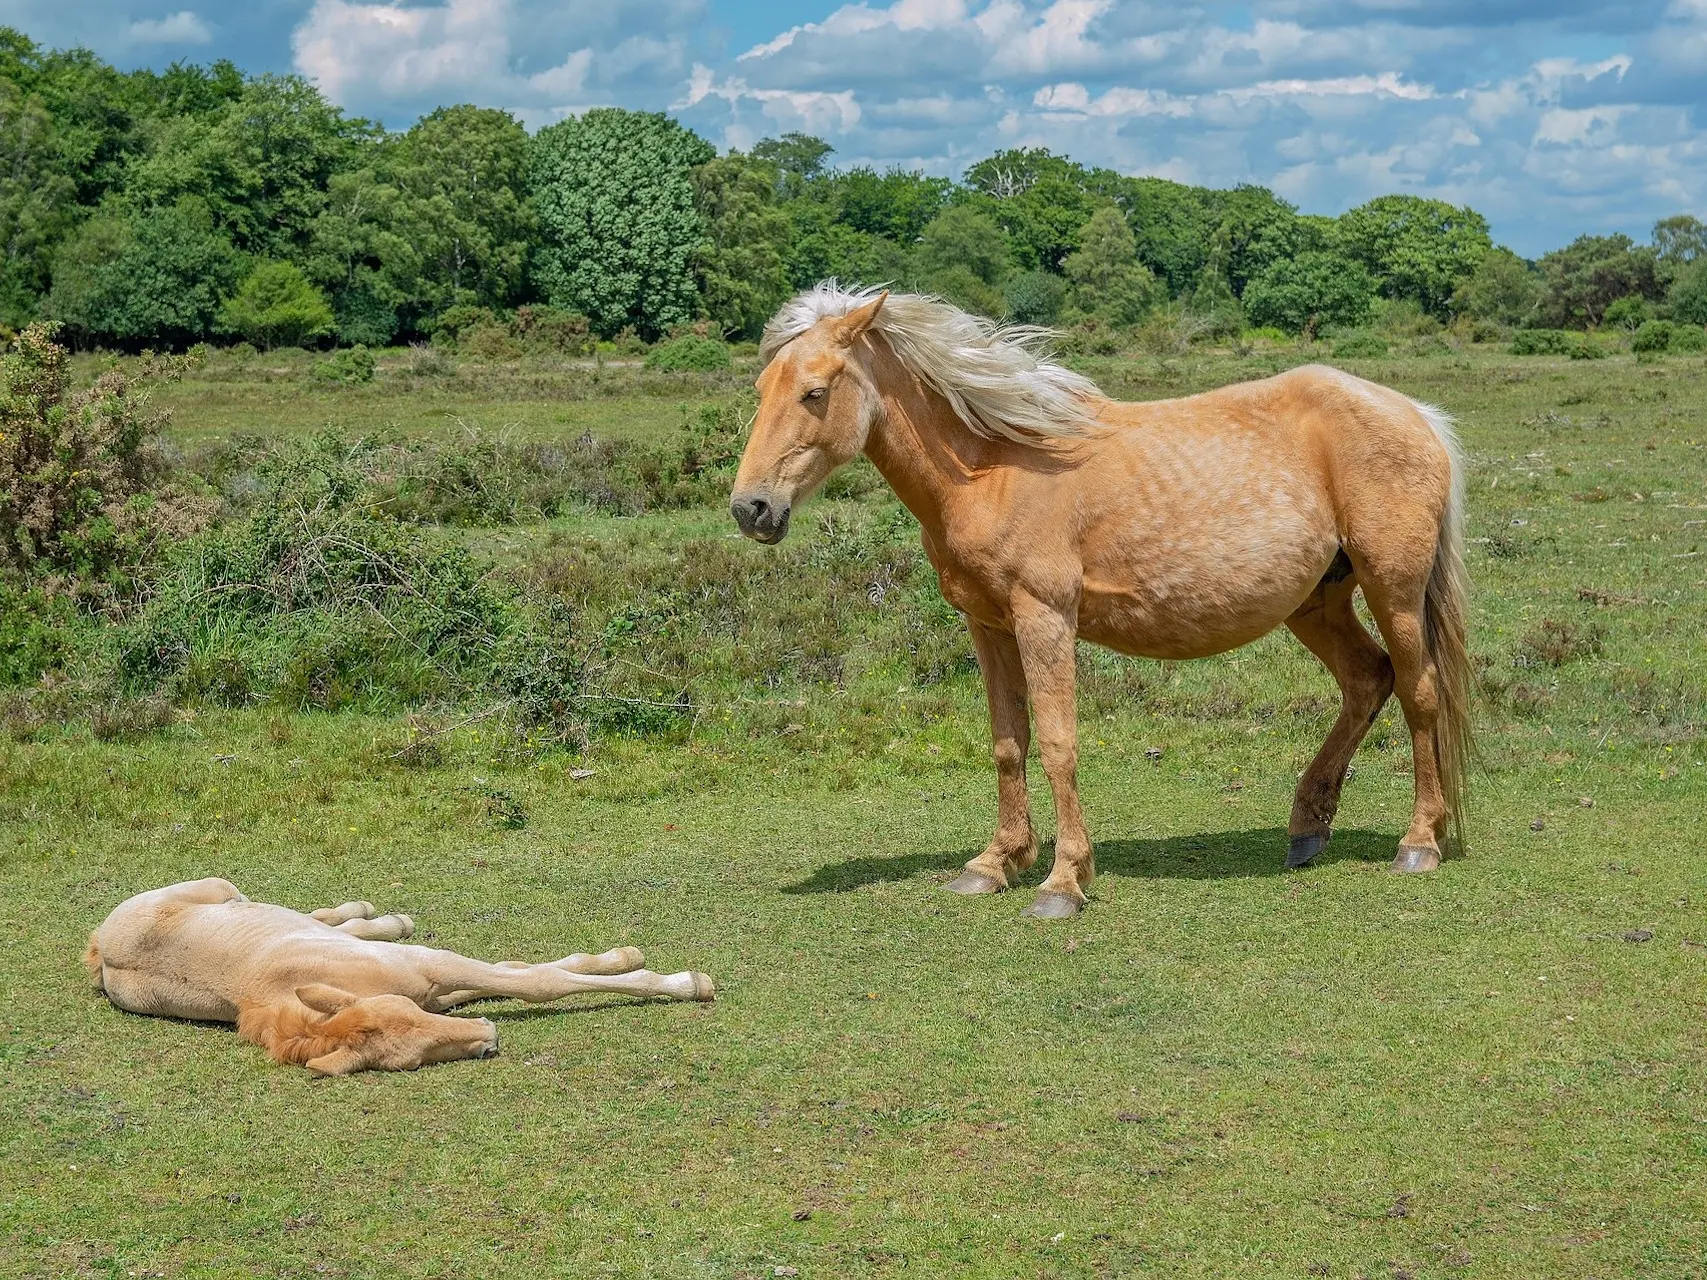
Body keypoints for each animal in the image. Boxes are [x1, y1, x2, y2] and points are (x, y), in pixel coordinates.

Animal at [84, 880, 713, 1071]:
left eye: (405, 1016)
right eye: (412, 1059)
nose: (489, 1039)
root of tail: (99, 951)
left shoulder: (429, 969)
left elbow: (532, 978)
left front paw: (676, 979)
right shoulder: (433, 983)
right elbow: (526, 976)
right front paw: (659, 972)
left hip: (226, 889)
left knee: (310, 913)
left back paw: (380, 915)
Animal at [727, 285, 1474, 914]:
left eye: (815, 392)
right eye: (763, 387)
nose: (751, 509)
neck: (991, 468)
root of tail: (1417, 415)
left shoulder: (1044, 619)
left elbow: (1058, 743)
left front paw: (1063, 880)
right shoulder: (987, 626)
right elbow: (1008, 742)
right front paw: (995, 862)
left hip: (1393, 590)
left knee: (1417, 693)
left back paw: (1418, 843)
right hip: (1316, 604)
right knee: (1367, 680)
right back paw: (1306, 829)